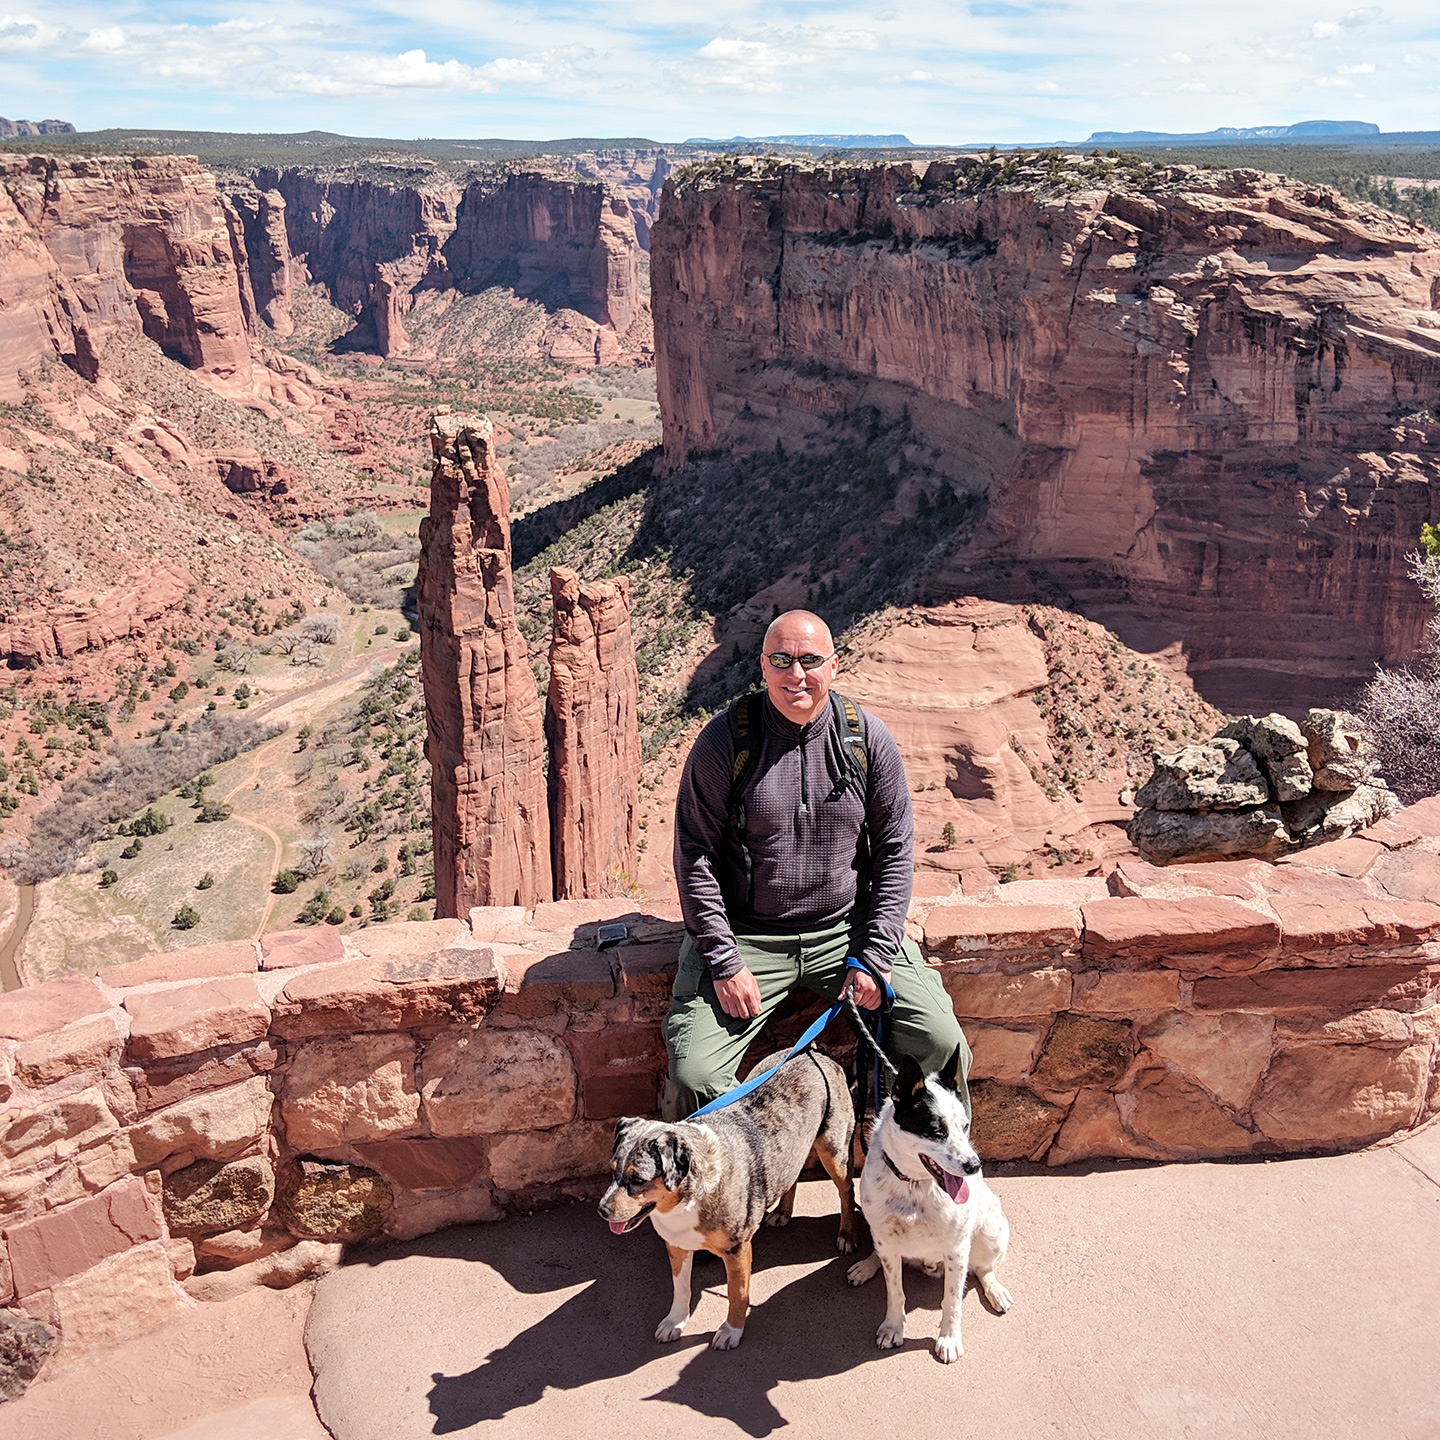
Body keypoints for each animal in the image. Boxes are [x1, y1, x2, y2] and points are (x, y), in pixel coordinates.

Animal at [840, 1048, 1013, 1359]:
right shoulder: (887, 1241)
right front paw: (893, 1327)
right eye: (936, 1131)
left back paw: (995, 1290)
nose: (974, 1166)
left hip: (992, 1232)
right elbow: (895, 1292)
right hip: (878, 1231)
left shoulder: (957, 1249)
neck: (914, 1185)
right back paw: (867, 1266)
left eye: (965, 1126)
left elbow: (952, 1301)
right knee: (880, 1253)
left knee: (984, 1268)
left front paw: (949, 1338)